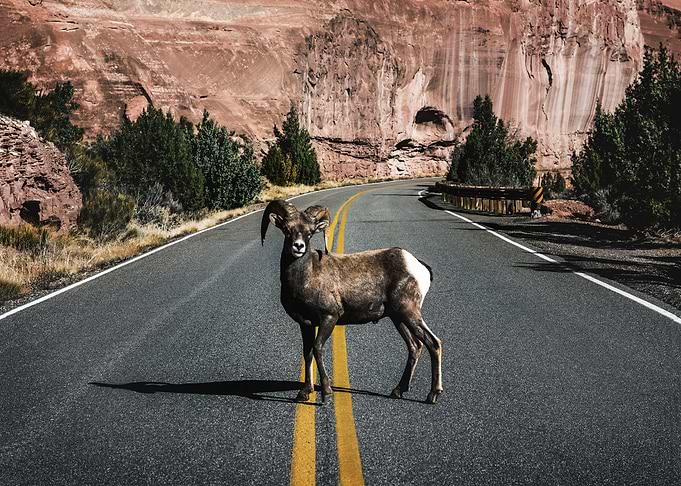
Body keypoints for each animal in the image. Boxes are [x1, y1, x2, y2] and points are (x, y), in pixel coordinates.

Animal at [261, 199, 443, 404]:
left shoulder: (329, 318)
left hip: (409, 312)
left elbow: (317, 349)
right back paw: (397, 391)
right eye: (287, 228)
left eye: (310, 232)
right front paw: (304, 393)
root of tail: (418, 266)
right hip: (398, 318)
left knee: (433, 343)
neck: (306, 276)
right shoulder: (306, 324)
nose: (298, 247)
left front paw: (326, 393)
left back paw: (432, 395)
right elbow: (307, 353)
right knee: (415, 346)